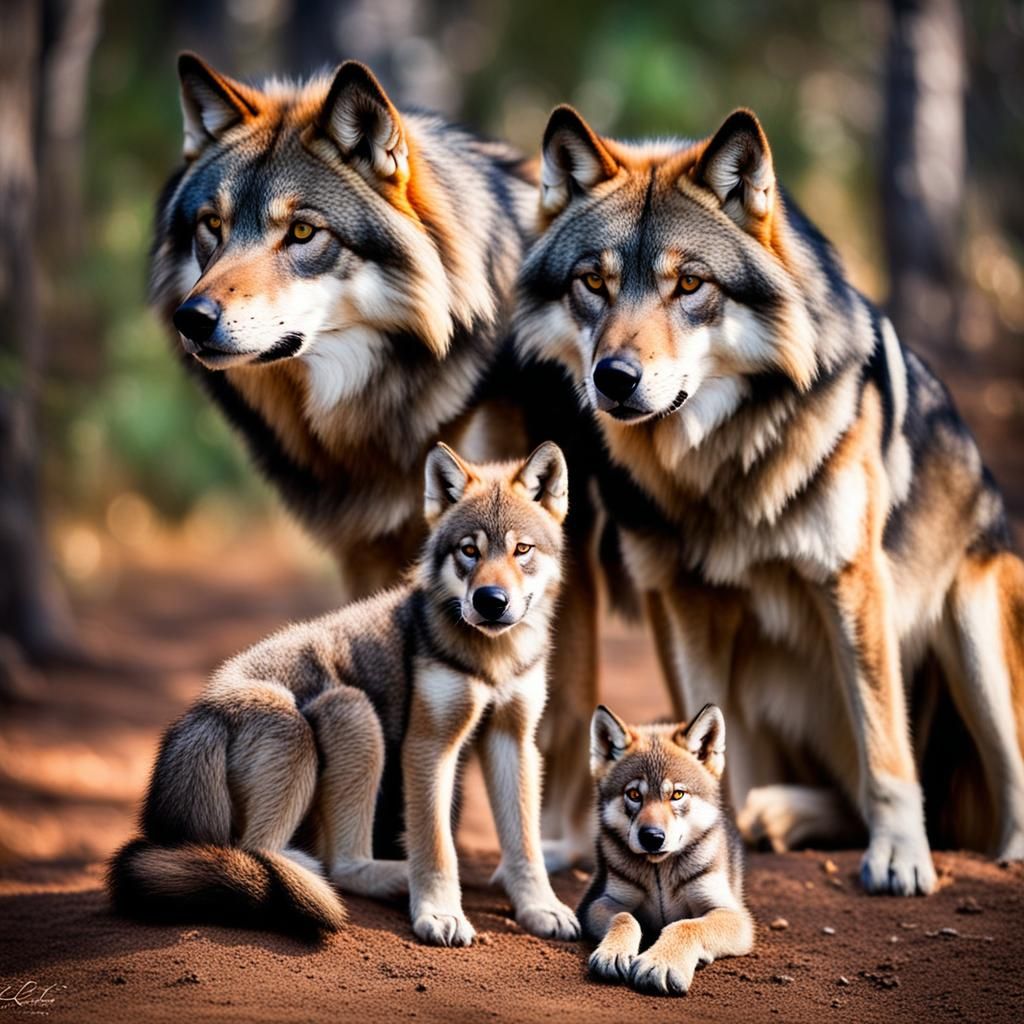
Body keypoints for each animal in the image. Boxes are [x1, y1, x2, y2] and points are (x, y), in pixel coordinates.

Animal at [108, 442, 580, 945]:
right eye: (468, 551)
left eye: (521, 549)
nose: (490, 601)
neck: (493, 661)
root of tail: (201, 716)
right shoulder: (429, 745)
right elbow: (437, 846)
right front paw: (439, 912)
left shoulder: (513, 738)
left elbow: (525, 845)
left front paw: (541, 908)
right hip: (344, 715)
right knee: (291, 858)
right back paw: (361, 879)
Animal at [150, 54, 601, 868]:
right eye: (212, 227)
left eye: (303, 232)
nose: (192, 318)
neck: (373, 417)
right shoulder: (368, 555)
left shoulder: (559, 557)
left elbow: (558, 715)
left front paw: (552, 849)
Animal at [516, 104, 1024, 895]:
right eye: (592, 283)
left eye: (690, 284)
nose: (614, 378)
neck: (717, 467)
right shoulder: (688, 600)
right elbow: (701, 747)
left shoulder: (851, 582)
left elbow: (885, 747)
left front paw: (900, 859)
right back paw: (771, 817)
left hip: (974, 632)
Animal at [579, 703, 752, 996]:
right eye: (634, 795)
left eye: (677, 795)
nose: (652, 837)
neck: (660, 873)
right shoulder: (600, 902)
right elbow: (625, 918)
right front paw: (613, 953)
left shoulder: (734, 915)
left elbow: (685, 925)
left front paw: (661, 963)